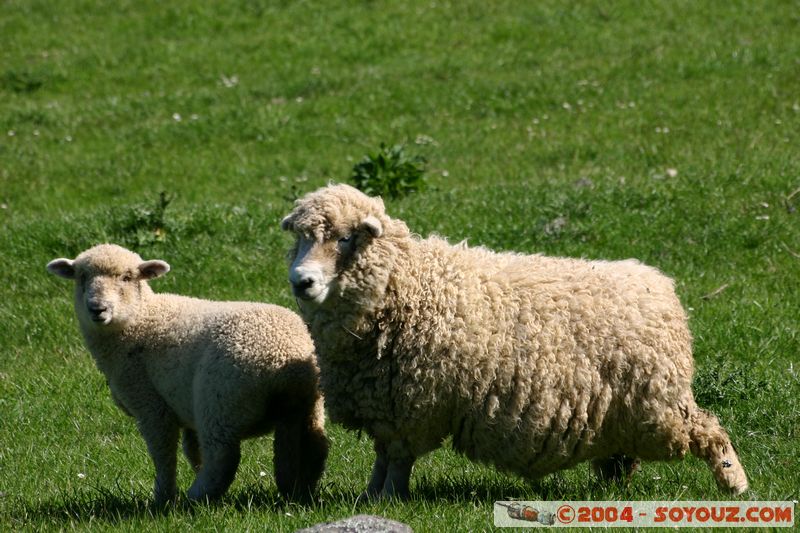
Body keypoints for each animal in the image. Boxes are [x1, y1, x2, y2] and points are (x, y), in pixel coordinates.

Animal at [47, 244, 328, 505]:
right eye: (82, 277)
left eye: (127, 277)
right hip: (303, 407)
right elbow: (192, 450)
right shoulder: (185, 408)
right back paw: (298, 492)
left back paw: (196, 497)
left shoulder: (150, 404)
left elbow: (163, 453)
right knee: (314, 448)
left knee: (222, 458)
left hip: (220, 400)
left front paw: (163, 498)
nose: (98, 309)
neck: (141, 319)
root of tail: (287, 357)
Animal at [280, 183, 749, 499]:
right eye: (300, 239)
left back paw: (735, 483)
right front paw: (370, 496)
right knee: (624, 455)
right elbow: (382, 457)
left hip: (658, 406)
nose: (301, 282)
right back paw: (616, 486)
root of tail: (661, 287)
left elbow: (397, 460)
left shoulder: (415, 405)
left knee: (708, 429)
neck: (409, 283)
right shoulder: (386, 405)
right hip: (626, 412)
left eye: (344, 238)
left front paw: (392, 499)